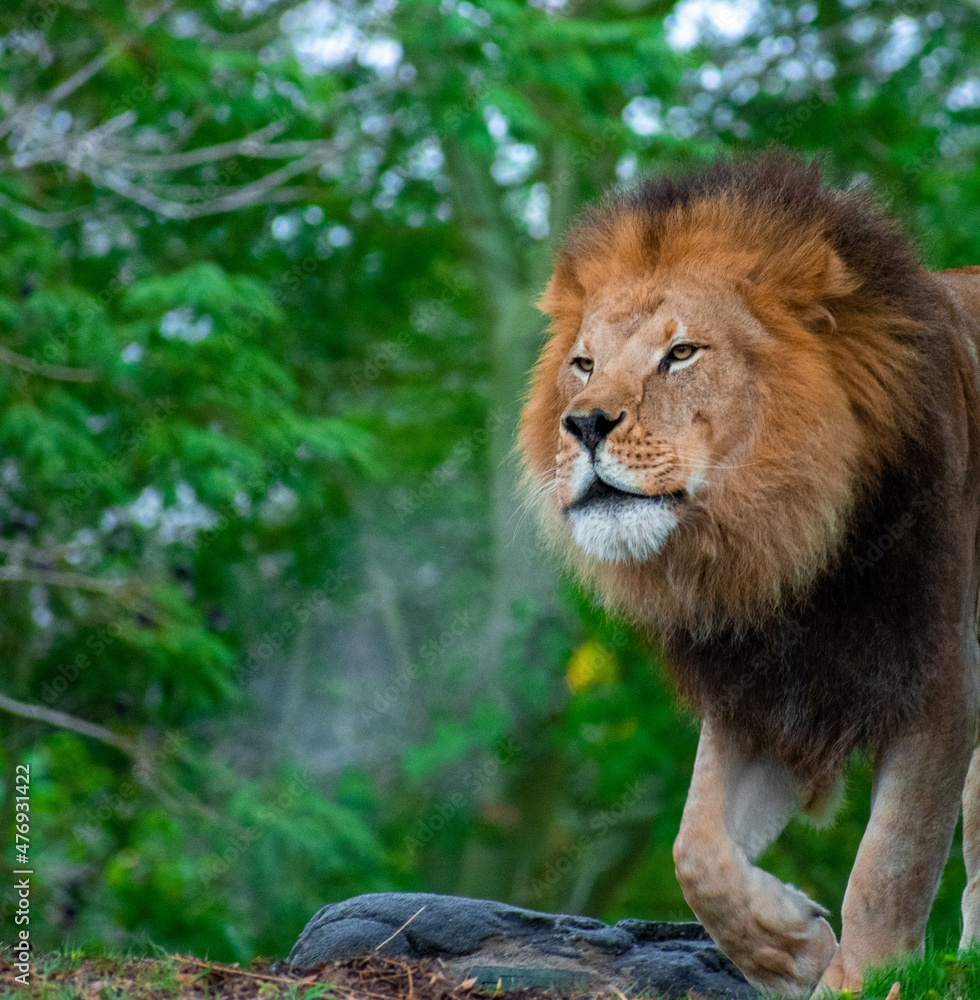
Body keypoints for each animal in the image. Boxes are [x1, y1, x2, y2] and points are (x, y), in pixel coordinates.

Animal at [518, 153, 980, 996]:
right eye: (584, 364)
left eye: (682, 354)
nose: (585, 423)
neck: (781, 545)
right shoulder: (760, 691)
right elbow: (696, 849)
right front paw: (789, 948)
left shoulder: (938, 679)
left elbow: (888, 863)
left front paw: (862, 978)